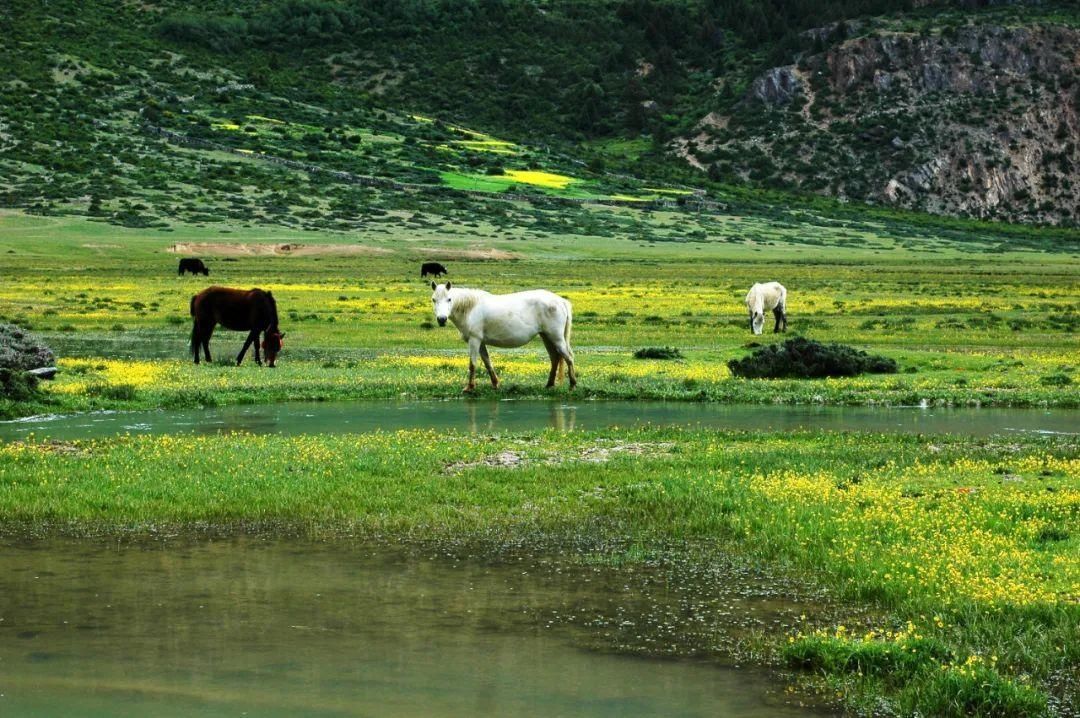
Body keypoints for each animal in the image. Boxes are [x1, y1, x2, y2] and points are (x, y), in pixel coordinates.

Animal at [427, 280, 574, 393]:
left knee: (568, 357)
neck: (470, 308)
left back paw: (572, 385)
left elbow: (472, 364)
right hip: (546, 337)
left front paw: (469, 388)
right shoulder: (481, 342)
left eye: (449, 299)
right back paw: (549, 384)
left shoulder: (474, 340)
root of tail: (560, 301)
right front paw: (495, 384)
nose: (441, 319)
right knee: (555, 359)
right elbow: (487, 363)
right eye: (434, 299)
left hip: (556, 338)